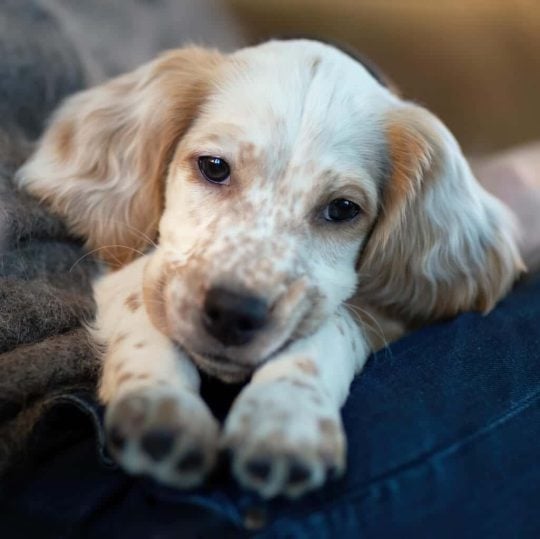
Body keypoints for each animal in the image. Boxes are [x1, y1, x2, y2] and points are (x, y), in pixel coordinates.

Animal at [15, 40, 524, 500]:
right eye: (213, 166)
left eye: (342, 209)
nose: (232, 313)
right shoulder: (130, 268)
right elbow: (144, 310)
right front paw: (159, 405)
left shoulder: (380, 313)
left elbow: (327, 331)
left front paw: (285, 417)